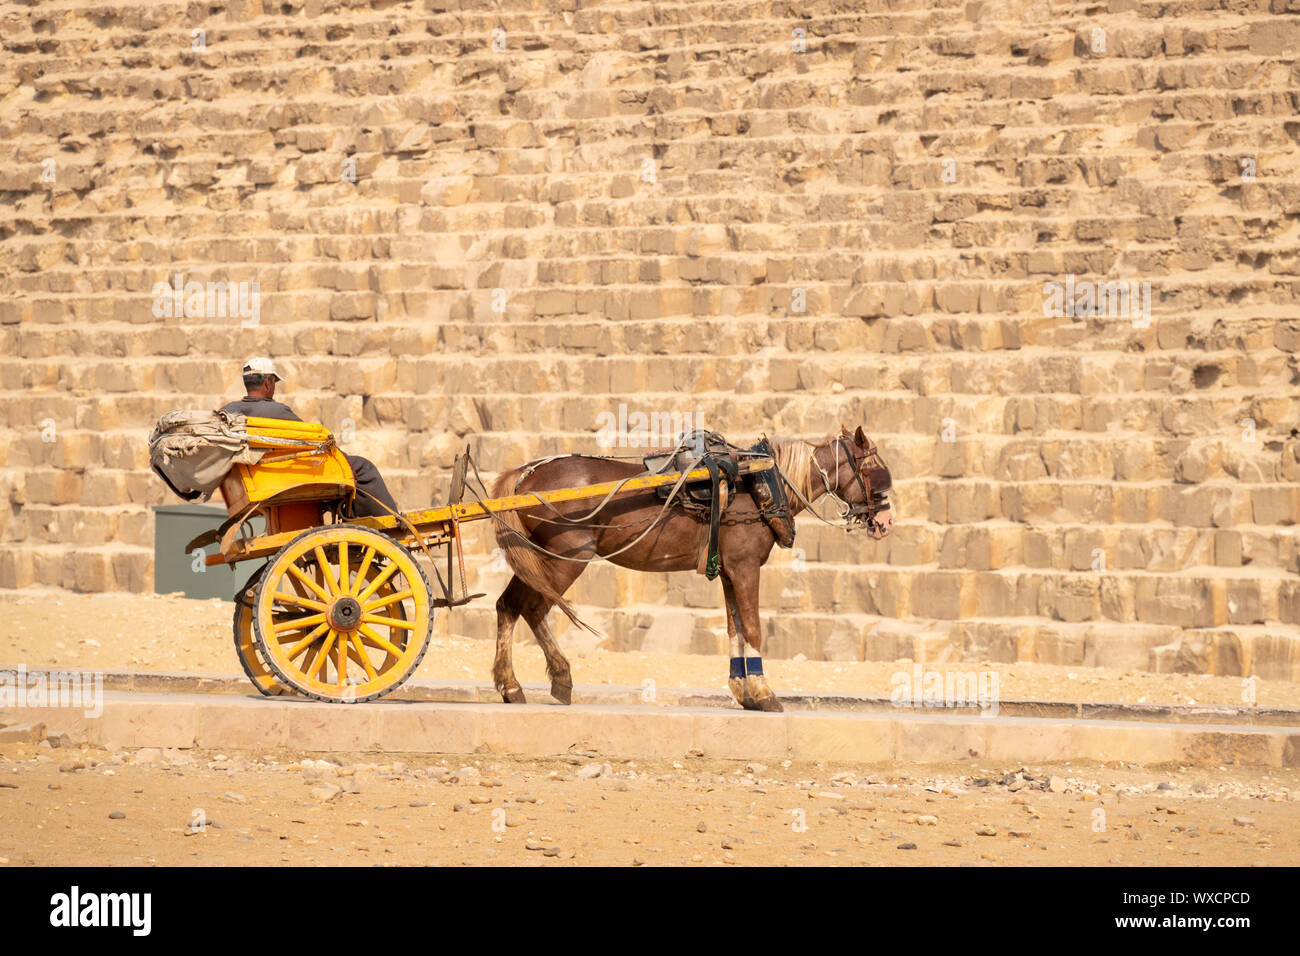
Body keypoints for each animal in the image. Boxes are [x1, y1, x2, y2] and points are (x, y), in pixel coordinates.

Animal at [487, 425, 893, 712]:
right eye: (876, 470)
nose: (886, 523)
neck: (760, 482)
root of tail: (524, 474)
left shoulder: (730, 570)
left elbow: (735, 628)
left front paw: (743, 692)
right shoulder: (746, 567)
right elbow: (753, 627)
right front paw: (764, 693)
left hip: (540, 557)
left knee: (510, 605)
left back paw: (521, 684)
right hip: (564, 558)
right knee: (530, 607)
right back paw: (546, 680)